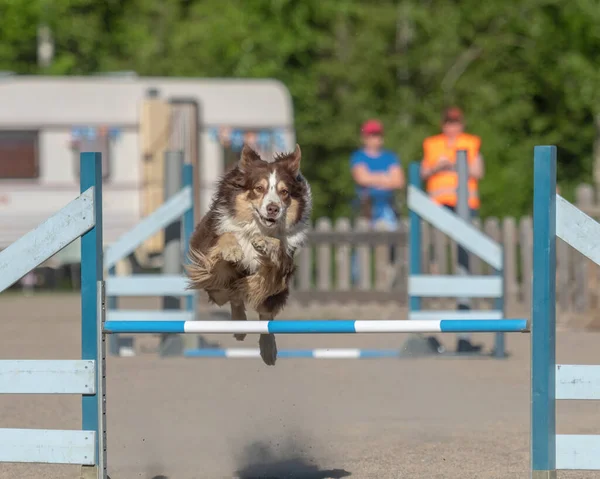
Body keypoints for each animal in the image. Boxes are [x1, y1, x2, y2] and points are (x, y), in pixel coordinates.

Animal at [185, 144, 312, 366]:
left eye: (284, 192)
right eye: (259, 188)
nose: (273, 208)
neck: (257, 227)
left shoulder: (284, 266)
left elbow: (275, 254)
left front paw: (265, 245)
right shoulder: (208, 248)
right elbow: (226, 239)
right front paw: (233, 250)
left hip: (274, 296)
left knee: (264, 316)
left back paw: (267, 348)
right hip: (217, 291)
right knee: (233, 298)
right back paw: (239, 326)